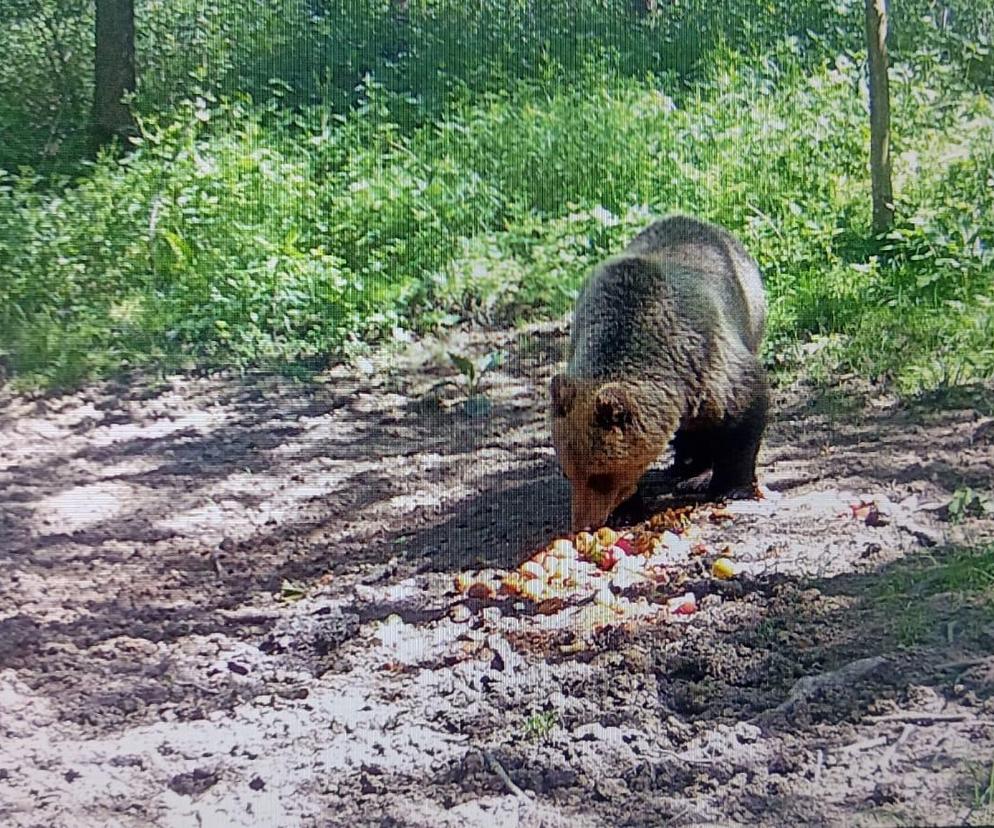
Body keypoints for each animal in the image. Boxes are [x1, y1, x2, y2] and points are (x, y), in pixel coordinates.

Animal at [552, 215, 768, 532]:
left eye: (600, 476)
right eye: (569, 472)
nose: (584, 524)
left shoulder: (708, 362)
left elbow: (744, 414)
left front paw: (731, 486)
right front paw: (626, 510)